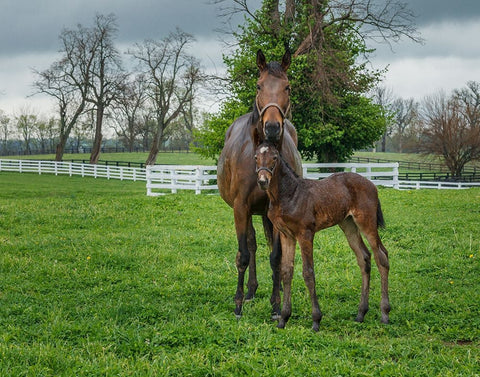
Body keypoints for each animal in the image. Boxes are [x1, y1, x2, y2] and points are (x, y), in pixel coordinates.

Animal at [218, 49, 302, 318]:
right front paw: (238, 303)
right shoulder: (240, 208)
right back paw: (251, 290)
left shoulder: (274, 211)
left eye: (287, 87)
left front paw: (276, 305)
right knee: (252, 245)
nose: (273, 127)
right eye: (258, 85)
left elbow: (275, 256)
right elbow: (243, 254)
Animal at [255, 141, 390, 328]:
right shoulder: (286, 235)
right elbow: (286, 272)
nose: (262, 181)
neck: (289, 194)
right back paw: (361, 313)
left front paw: (316, 320)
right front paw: (283, 318)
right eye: (256, 157)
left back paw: (385, 313)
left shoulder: (305, 234)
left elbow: (308, 272)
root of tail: (372, 185)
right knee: (364, 257)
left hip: (366, 223)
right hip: (348, 224)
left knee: (381, 256)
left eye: (274, 157)